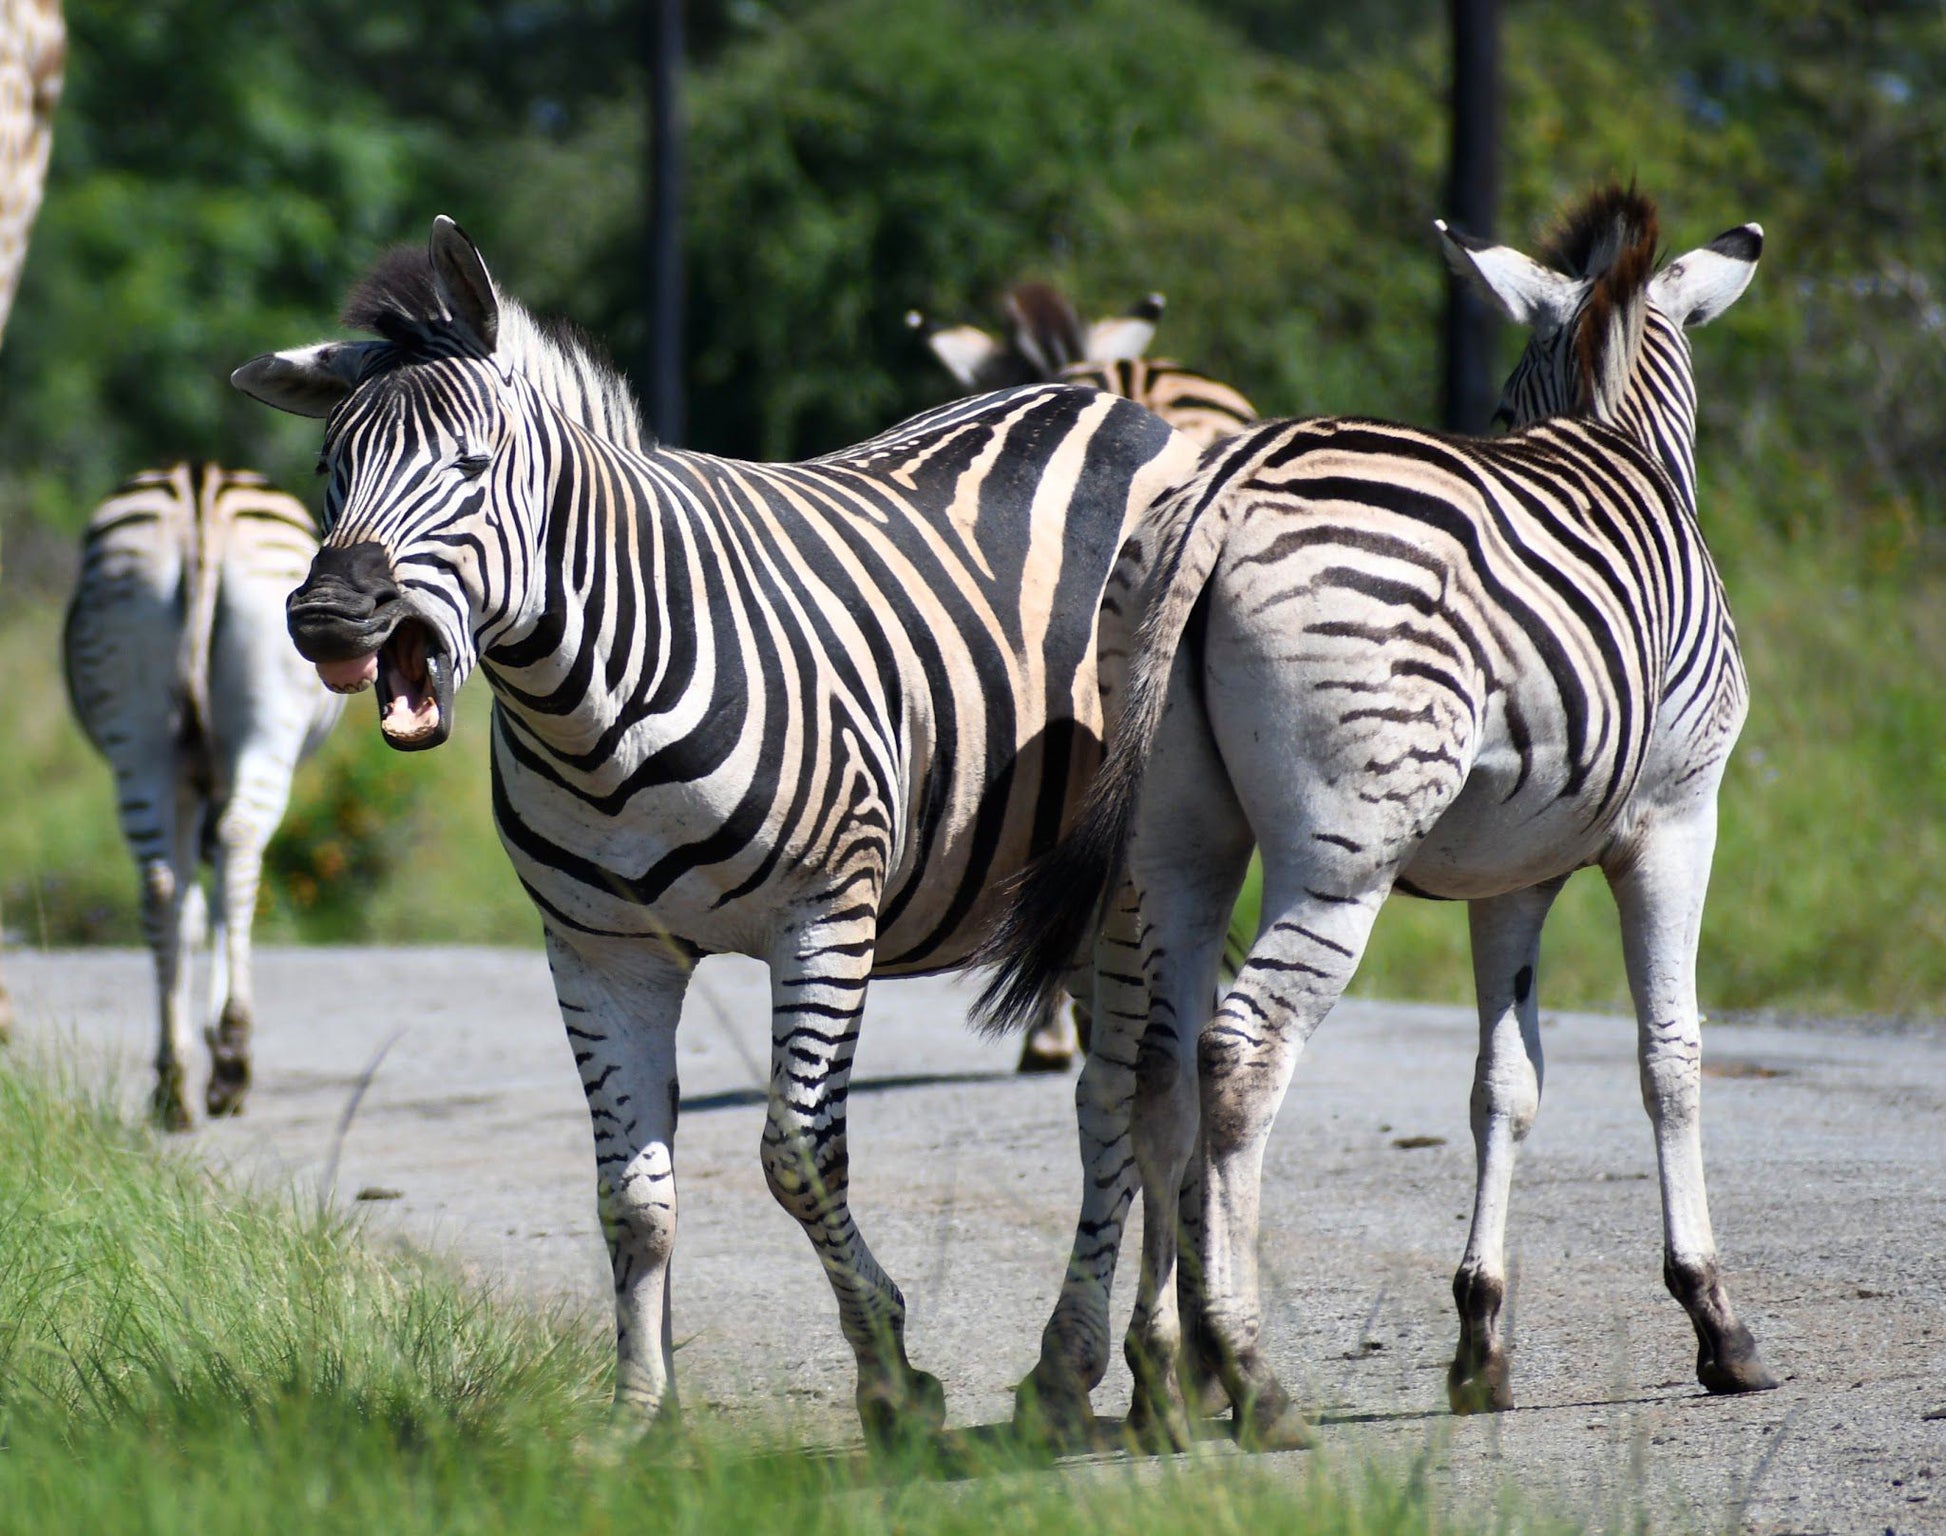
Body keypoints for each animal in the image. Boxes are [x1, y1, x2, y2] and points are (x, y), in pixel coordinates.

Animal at [63, 461, 346, 1121]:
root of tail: (201, 492)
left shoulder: (191, 778)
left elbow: (194, 900)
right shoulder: (208, 779)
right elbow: (216, 898)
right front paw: (219, 1039)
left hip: (139, 739)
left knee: (160, 883)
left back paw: (171, 1081)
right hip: (268, 724)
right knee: (239, 845)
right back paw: (232, 1060)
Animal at [227, 221, 1198, 1440]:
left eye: (472, 467)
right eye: (330, 471)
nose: (326, 615)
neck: (587, 711)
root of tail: (1104, 402)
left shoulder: (826, 913)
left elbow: (797, 1158)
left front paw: (892, 1378)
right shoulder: (601, 952)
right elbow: (630, 1195)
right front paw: (637, 1414)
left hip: (1137, 871)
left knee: (1139, 1093)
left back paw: (1136, 1369)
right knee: (1107, 1094)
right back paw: (1079, 1370)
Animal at [980, 182, 1774, 1448]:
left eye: (1499, 401)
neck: (1614, 438)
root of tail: (1221, 489)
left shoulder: (1511, 872)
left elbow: (1504, 1084)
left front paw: (1480, 1342)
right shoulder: (1675, 816)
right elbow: (1669, 1055)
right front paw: (1714, 1321)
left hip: (1177, 842)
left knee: (1155, 1065)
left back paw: (1161, 1376)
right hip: (1341, 853)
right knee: (1237, 1053)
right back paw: (1250, 1377)